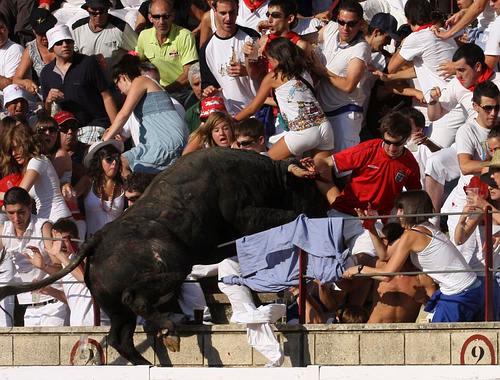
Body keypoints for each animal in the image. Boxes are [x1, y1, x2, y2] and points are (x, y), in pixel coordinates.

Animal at [0, 148, 328, 366]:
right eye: (309, 188)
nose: (325, 212)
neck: (265, 175)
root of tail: (97, 238)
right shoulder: (247, 215)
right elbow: (284, 215)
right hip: (172, 267)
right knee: (135, 299)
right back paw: (169, 330)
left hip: (115, 307)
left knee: (120, 337)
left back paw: (147, 362)